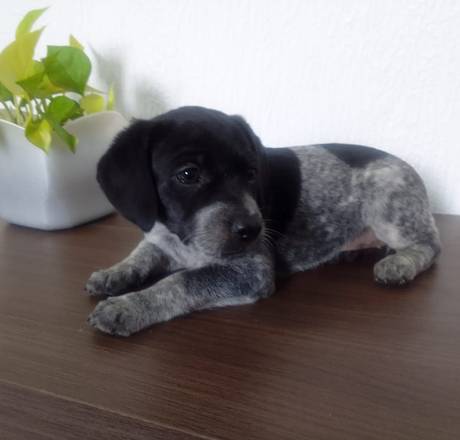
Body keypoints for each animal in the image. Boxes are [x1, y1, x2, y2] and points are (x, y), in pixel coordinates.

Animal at [86, 106, 441, 336]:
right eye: (188, 175)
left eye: (251, 174)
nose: (253, 230)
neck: (182, 239)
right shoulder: (161, 240)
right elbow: (141, 255)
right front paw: (113, 274)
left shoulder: (250, 271)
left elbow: (180, 281)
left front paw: (129, 307)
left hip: (389, 206)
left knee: (431, 246)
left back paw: (400, 264)